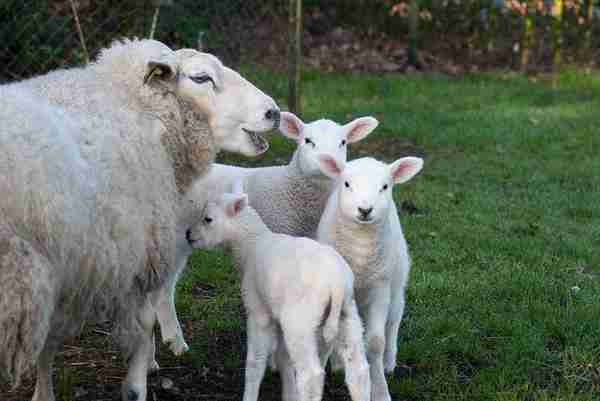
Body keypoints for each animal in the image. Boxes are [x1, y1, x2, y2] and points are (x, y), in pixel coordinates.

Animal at [0, 38, 282, 400]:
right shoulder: (138, 254)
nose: (273, 112)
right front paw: (136, 383)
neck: (135, 104)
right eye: (201, 78)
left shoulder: (63, 269)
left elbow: (49, 342)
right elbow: (143, 322)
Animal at [186, 188, 370, 400]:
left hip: (300, 322)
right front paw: (289, 393)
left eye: (207, 219)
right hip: (347, 315)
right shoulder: (278, 316)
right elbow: (284, 359)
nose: (188, 234)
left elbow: (255, 363)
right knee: (359, 370)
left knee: (311, 375)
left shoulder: (258, 312)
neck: (250, 246)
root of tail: (336, 283)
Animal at [316, 154, 424, 400]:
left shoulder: (380, 287)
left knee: (394, 320)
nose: (365, 209)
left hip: (396, 286)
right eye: (347, 184)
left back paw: (389, 362)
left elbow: (376, 342)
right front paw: (335, 364)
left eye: (385, 187)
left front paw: (381, 390)